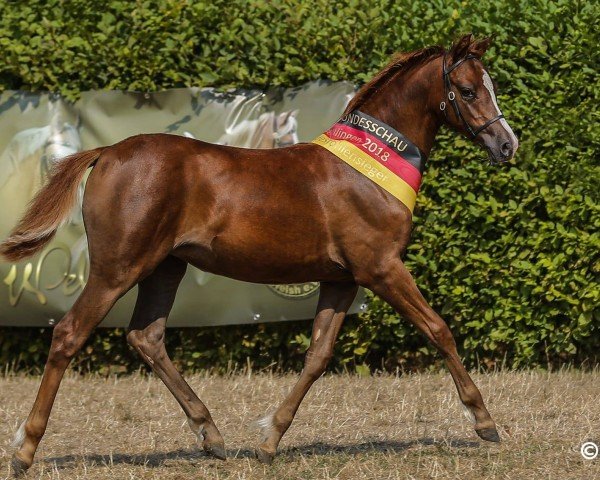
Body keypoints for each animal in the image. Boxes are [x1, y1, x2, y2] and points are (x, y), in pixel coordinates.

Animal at [1, 34, 516, 476]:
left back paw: (211, 435)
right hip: (117, 269)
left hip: (166, 267)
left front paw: (269, 441)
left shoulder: (341, 279)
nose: (507, 144)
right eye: (469, 90)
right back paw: (25, 450)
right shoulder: (381, 268)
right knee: (69, 333)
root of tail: (106, 152)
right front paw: (485, 422)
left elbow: (317, 356)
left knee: (146, 337)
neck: (369, 168)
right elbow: (438, 330)